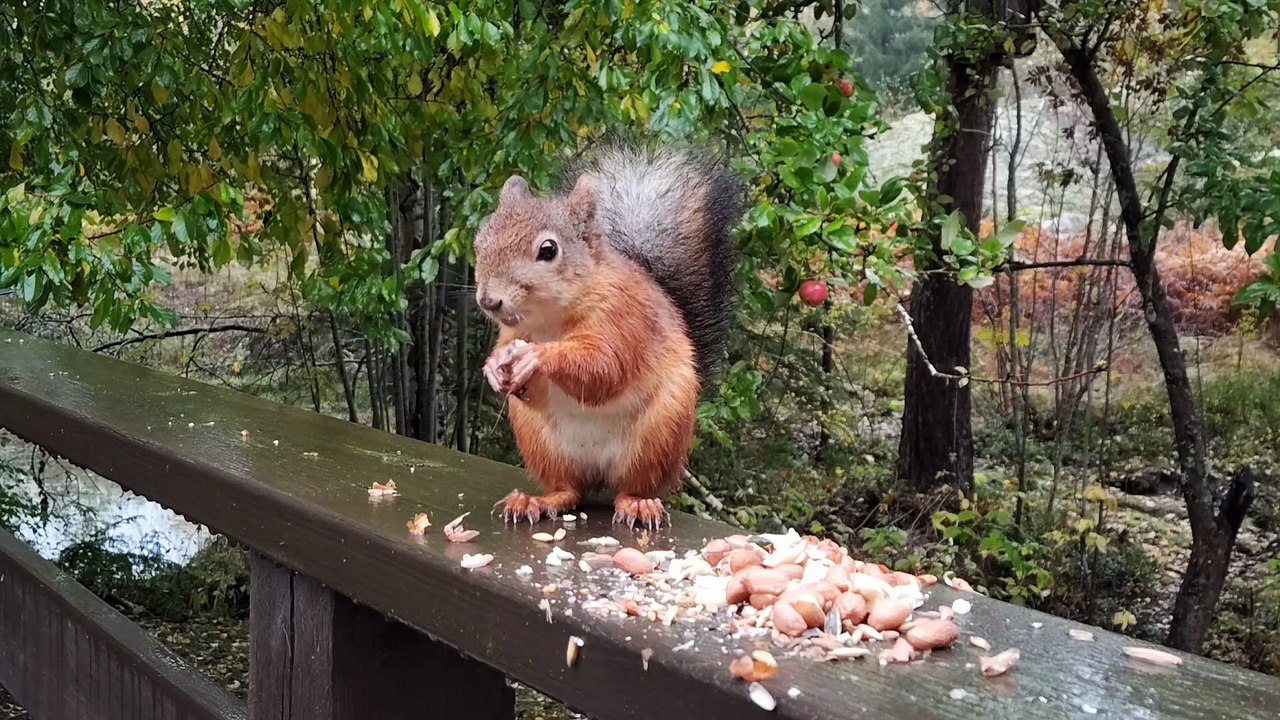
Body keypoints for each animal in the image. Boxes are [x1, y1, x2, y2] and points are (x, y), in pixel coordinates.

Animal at [473, 142, 743, 529]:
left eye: (548, 250)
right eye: (480, 243)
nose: (488, 300)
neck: (550, 321)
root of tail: (598, 477)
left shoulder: (623, 318)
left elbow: (604, 368)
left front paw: (538, 357)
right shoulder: (514, 329)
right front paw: (496, 366)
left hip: (658, 435)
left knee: (631, 487)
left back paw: (639, 505)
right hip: (541, 442)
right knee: (568, 489)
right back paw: (537, 501)